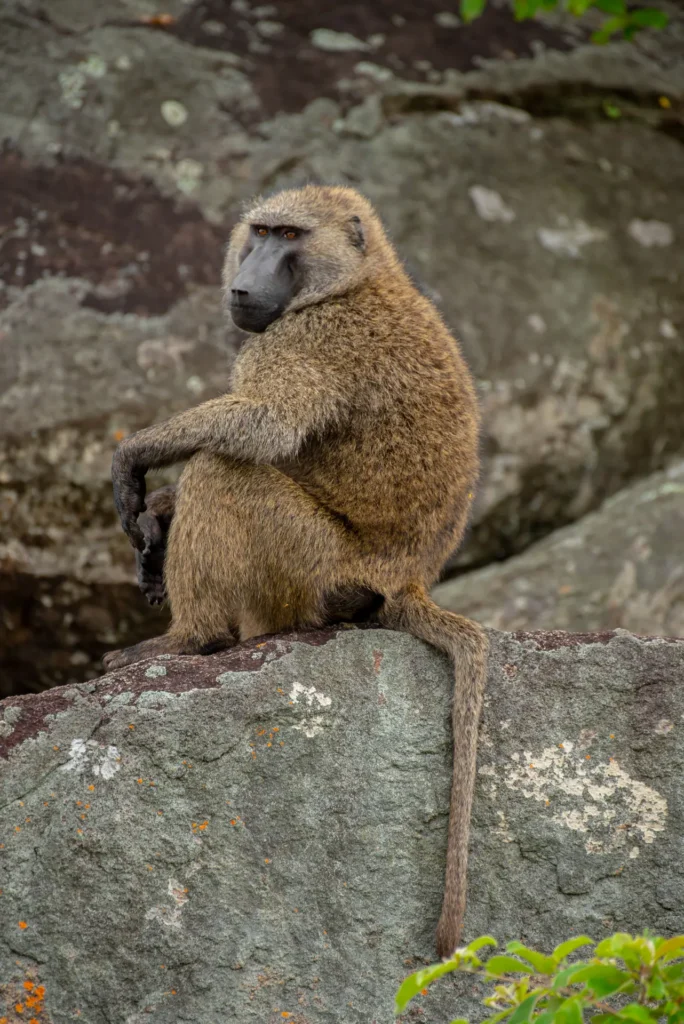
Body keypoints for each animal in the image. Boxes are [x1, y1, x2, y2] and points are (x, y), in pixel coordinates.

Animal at [104, 185, 488, 959]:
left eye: (288, 237)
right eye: (258, 232)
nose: (242, 284)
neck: (357, 280)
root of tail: (404, 580)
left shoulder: (308, 338)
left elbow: (266, 423)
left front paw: (138, 459)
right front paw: (154, 519)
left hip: (313, 565)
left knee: (223, 469)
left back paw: (187, 640)